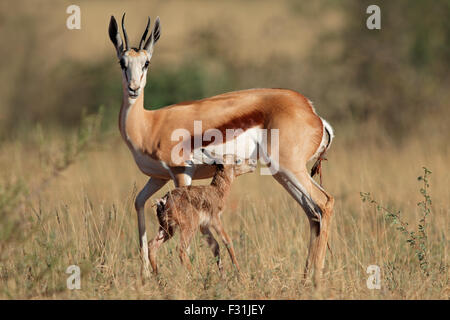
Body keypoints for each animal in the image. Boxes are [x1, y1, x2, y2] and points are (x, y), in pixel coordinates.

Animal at [108, 13, 334, 282]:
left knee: (325, 202)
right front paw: (145, 276)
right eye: (122, 62)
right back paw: (305, 278)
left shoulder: (180, 173)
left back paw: (317, 279)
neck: (149, 124)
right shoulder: (157, 177)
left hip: (290, 169)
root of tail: (311, 110)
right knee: (312, 213)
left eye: (146, 63)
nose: (133, 88)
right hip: (282, 173)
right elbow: (139, 204)